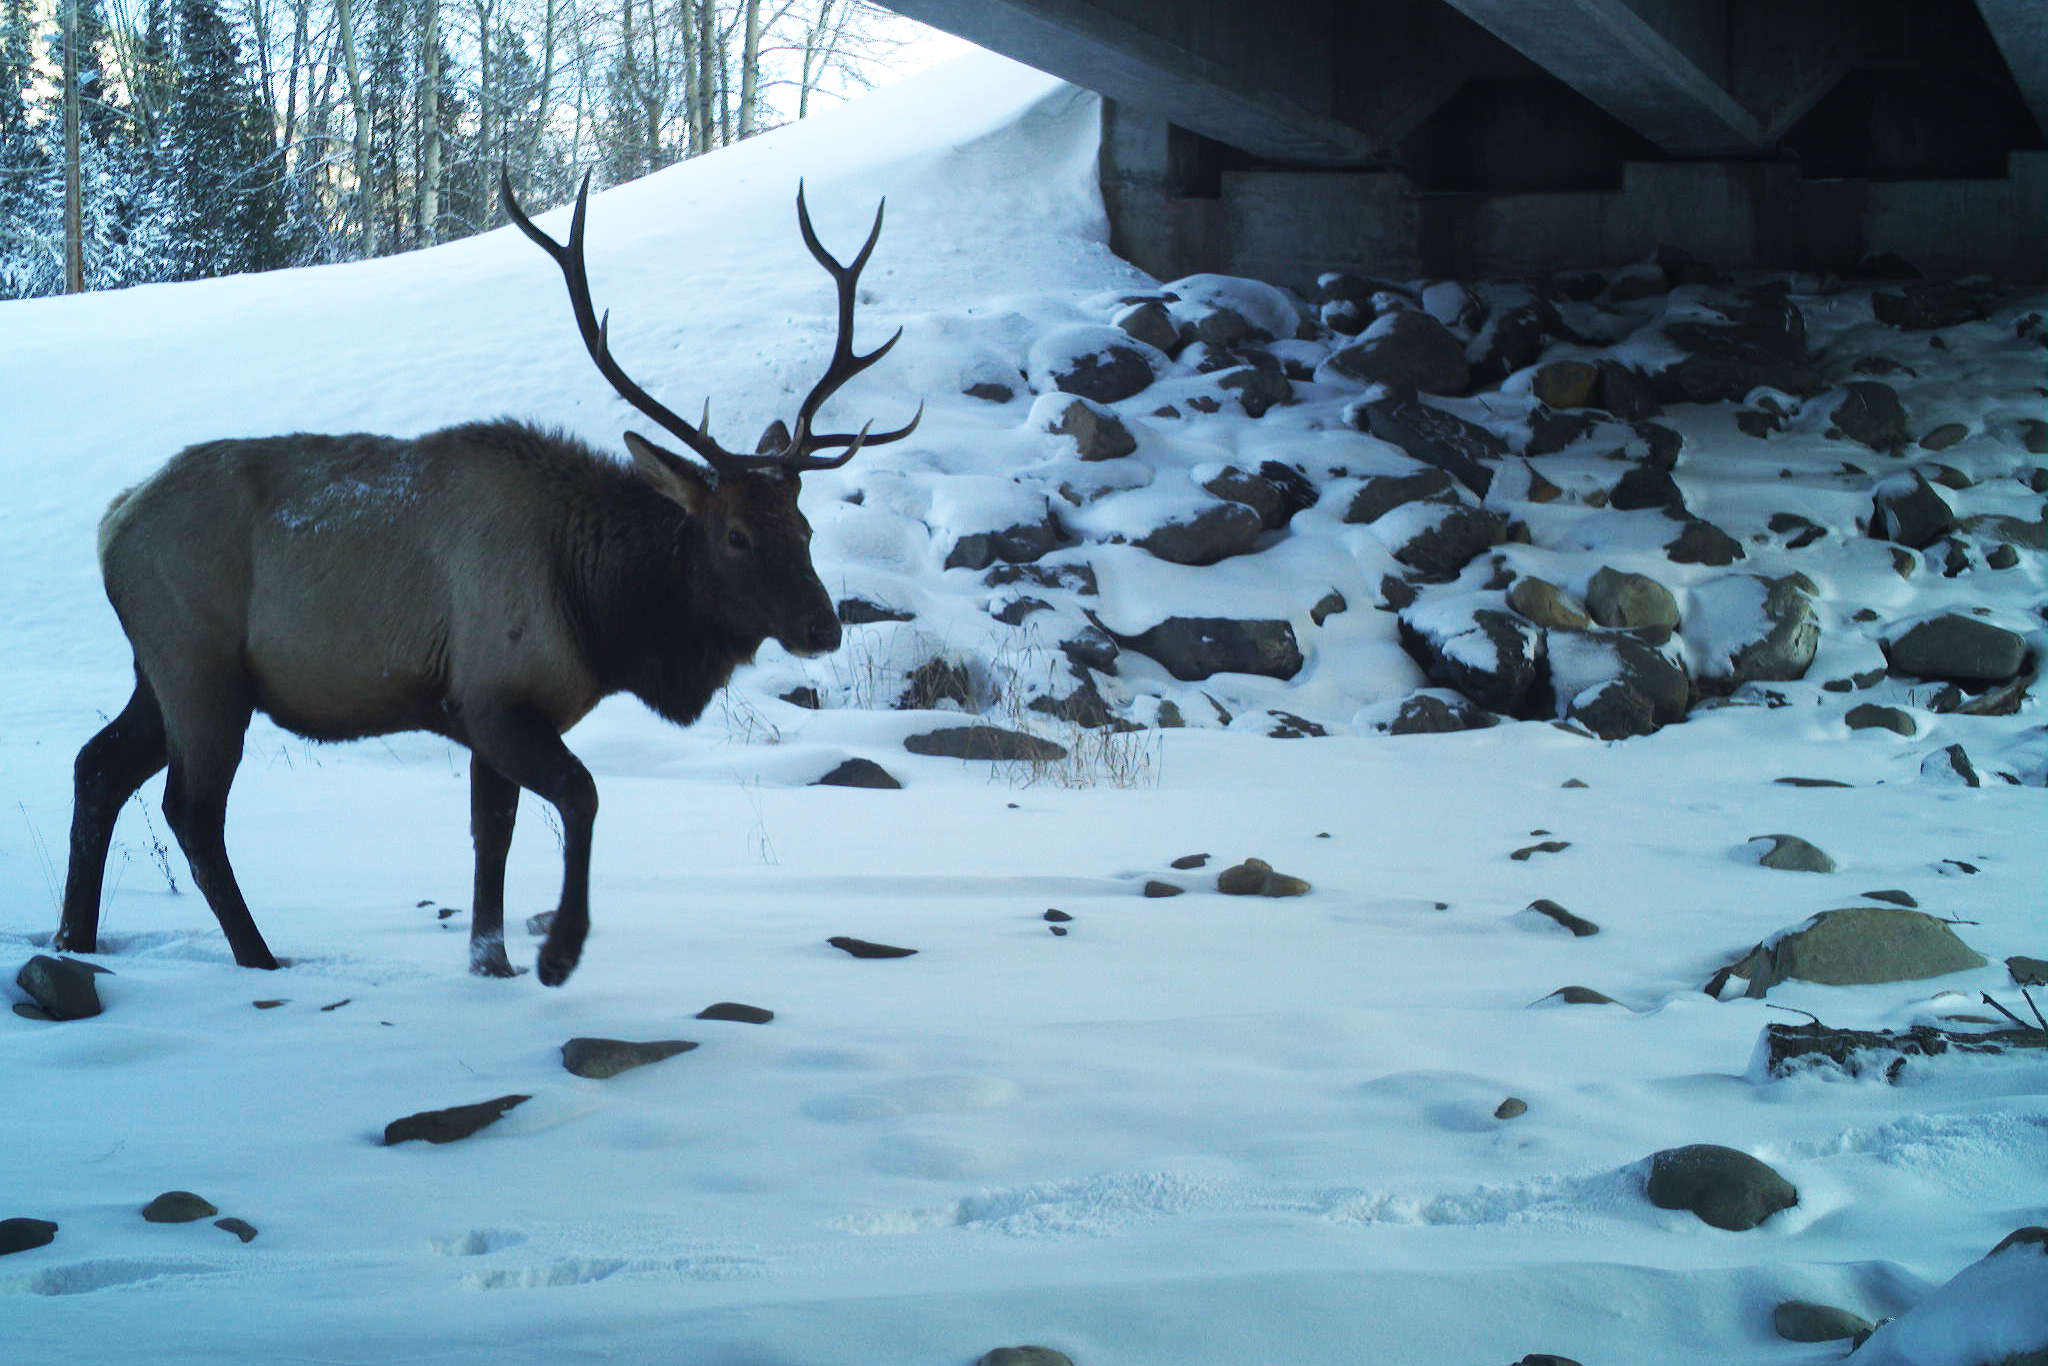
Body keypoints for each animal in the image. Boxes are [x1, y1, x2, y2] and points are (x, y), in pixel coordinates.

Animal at [52, 172, 920, 986]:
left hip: (159, 672)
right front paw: (558, 953)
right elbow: (579, 796)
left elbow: (491, 834)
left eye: (804, 529)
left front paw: (490, 961)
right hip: (200, 668)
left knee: (98, 767)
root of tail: (111, 522)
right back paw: (257, 956)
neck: (601, 616)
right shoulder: (494, 694)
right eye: (736, 535)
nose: (822, 626)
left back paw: (74, 939)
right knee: (191, 812)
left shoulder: (482, 715)